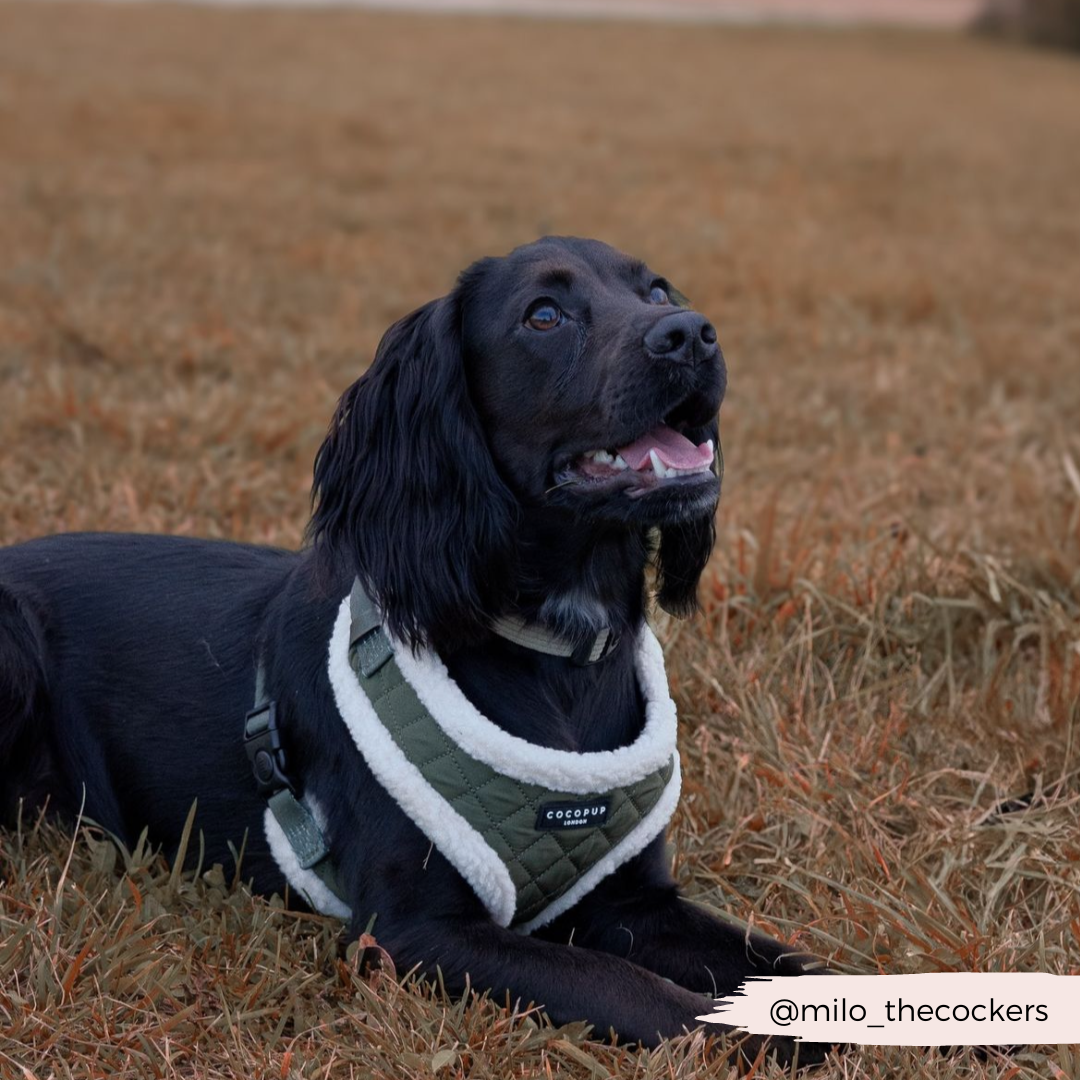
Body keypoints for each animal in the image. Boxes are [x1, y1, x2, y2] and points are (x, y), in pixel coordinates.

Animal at [4, 240, 825, 1058]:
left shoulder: (629, 898)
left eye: (655, 290)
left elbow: (790, 963)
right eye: (544, 315)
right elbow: (648, 996)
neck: (557, 651)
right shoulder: (417, 932)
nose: (691, 334)